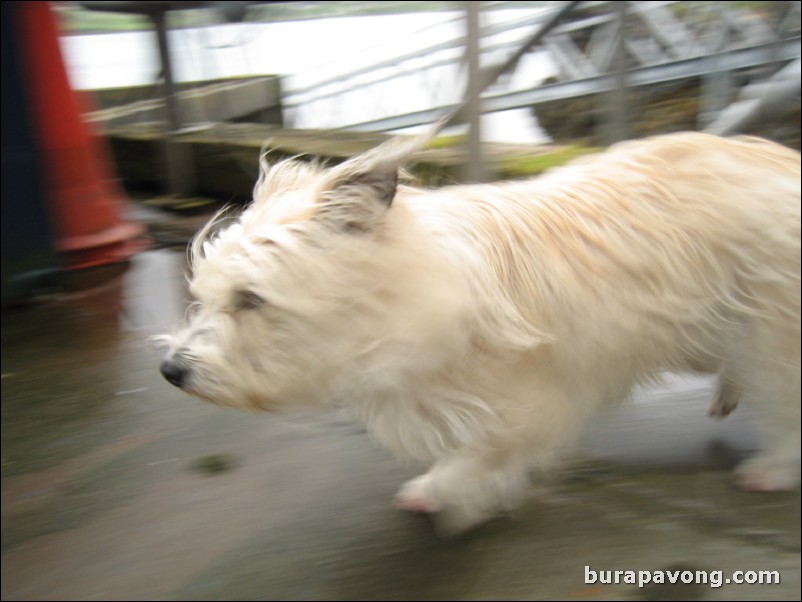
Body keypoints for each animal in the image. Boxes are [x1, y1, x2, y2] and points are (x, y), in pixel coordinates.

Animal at [159, 130, 796, 528]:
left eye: (250, 299)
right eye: (206, 296)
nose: (170, 371)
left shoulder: (534, 401)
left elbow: (485, 452)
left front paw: (444, 488)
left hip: (770, 331)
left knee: (782, 397)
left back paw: (770, 469)